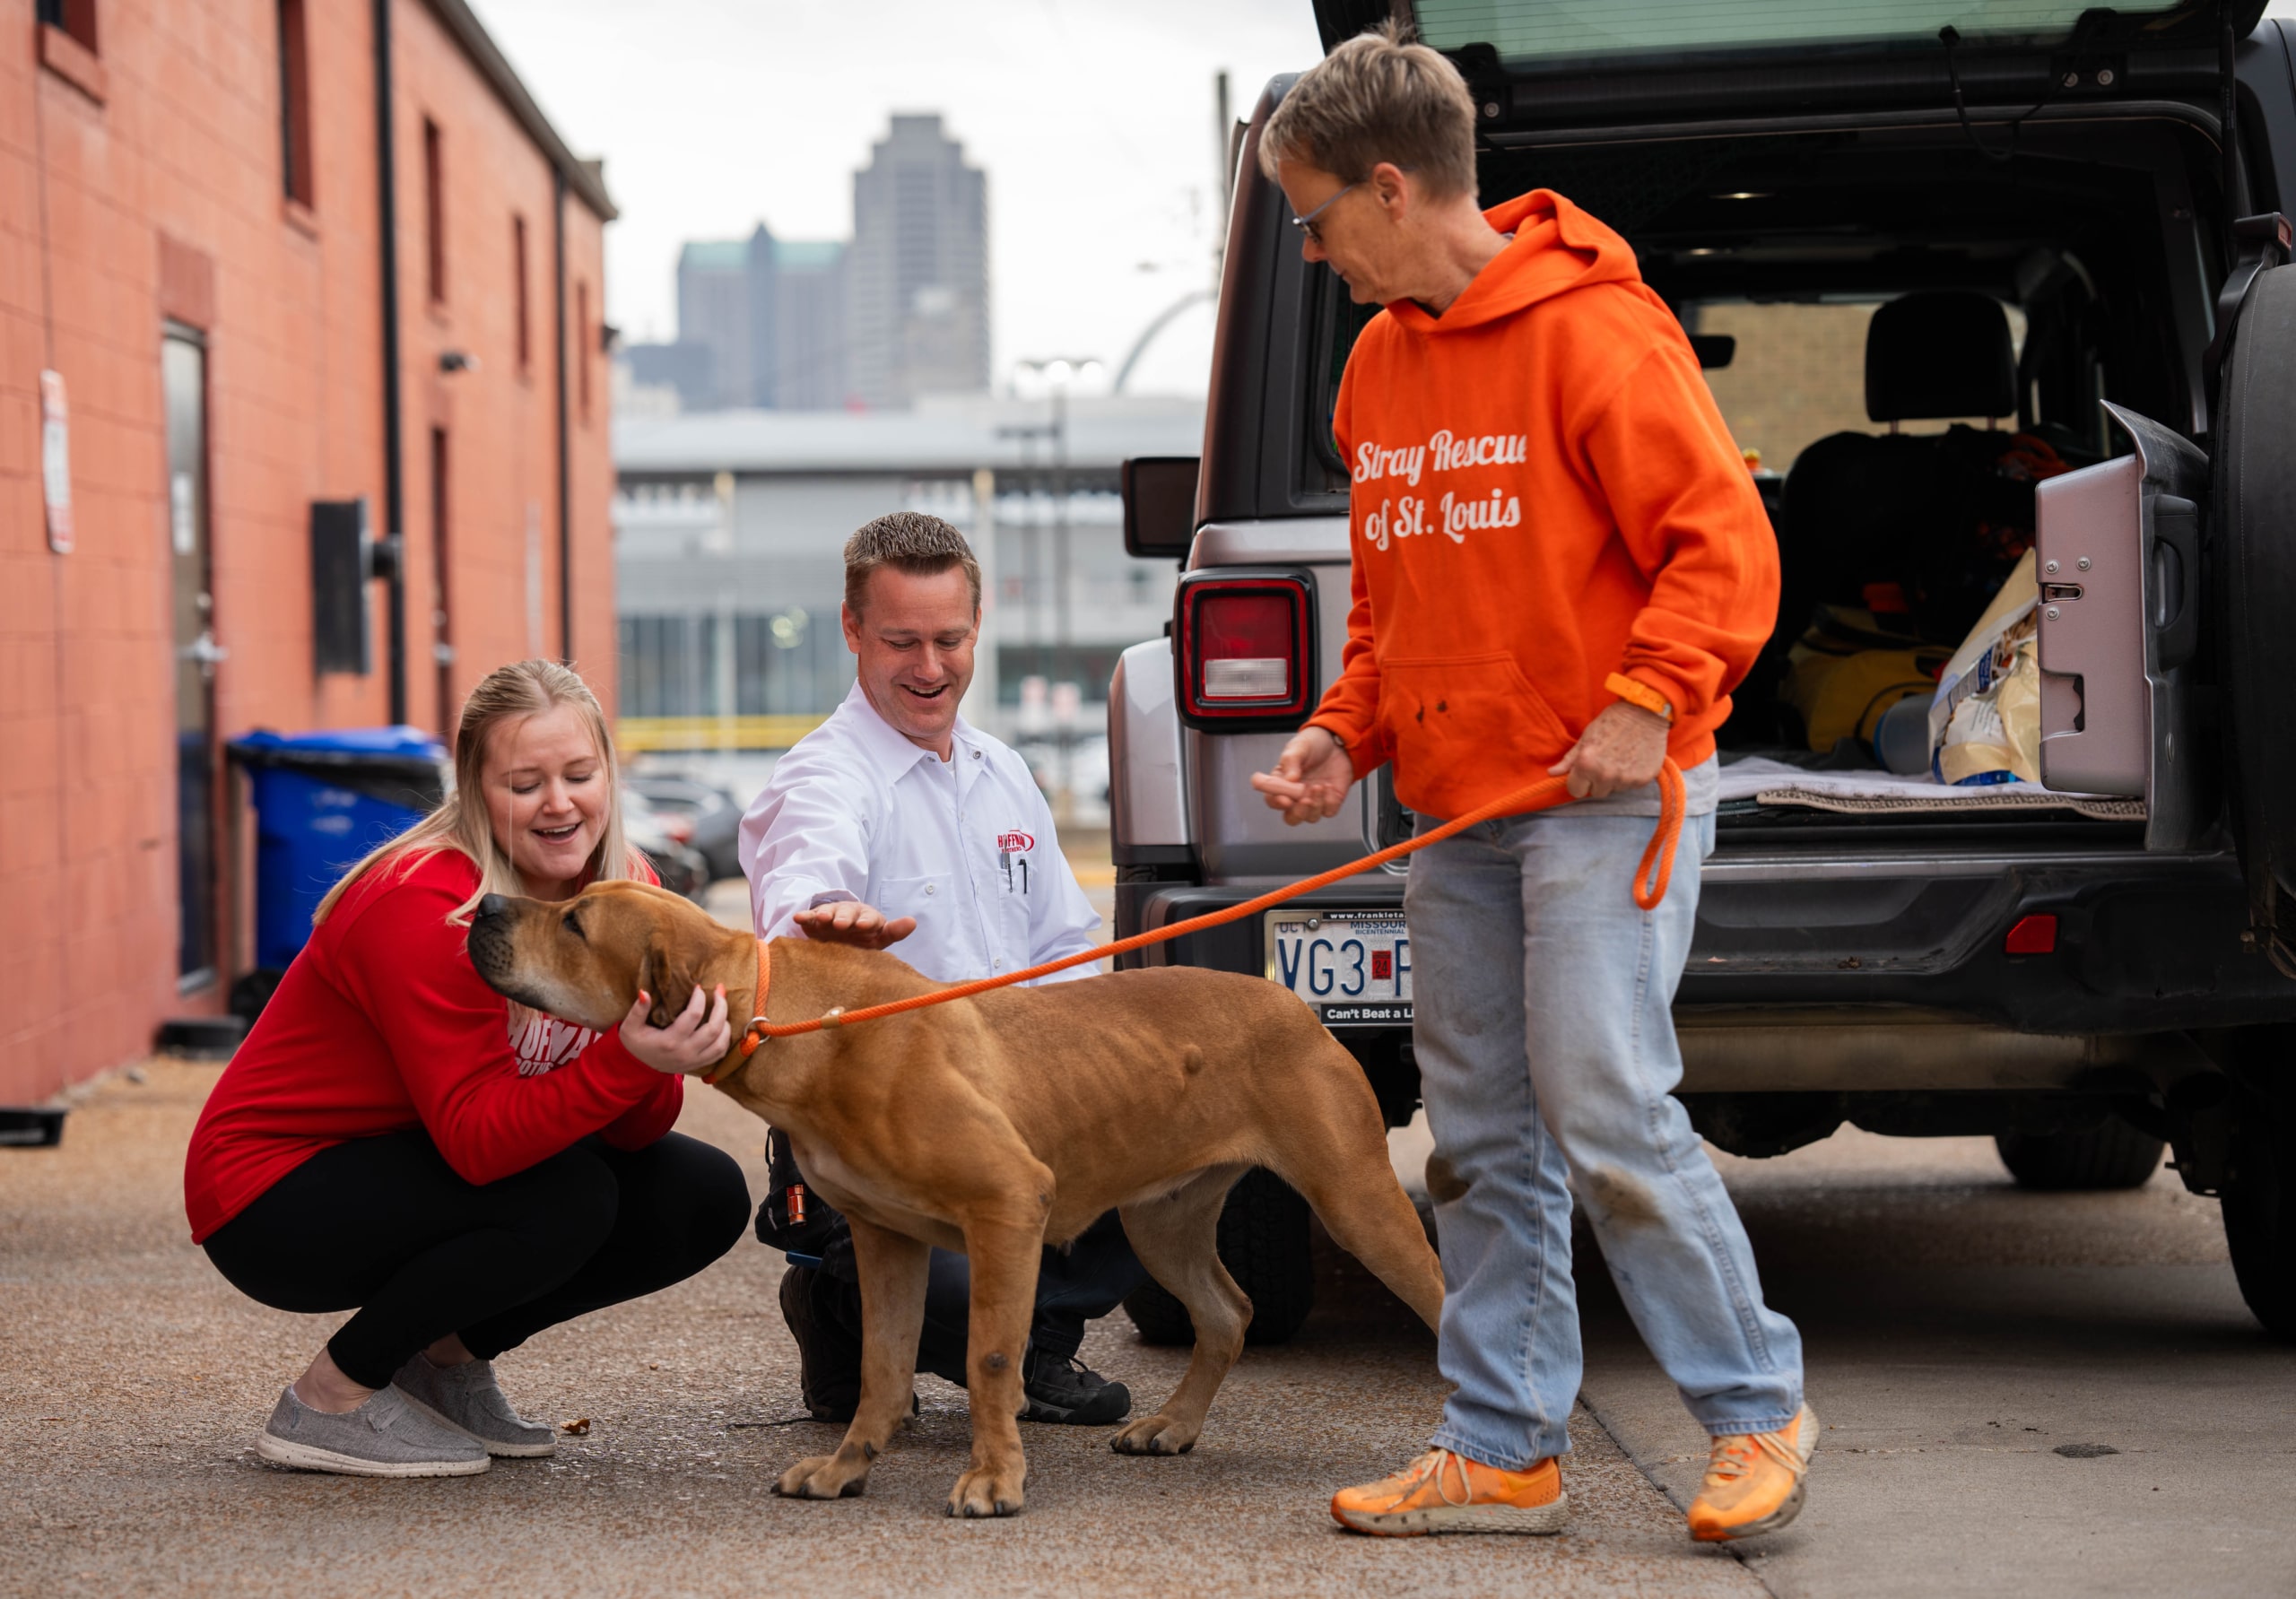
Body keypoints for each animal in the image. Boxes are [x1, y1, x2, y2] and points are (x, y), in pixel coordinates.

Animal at [461, 882, 1432, 1516]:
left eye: (575, 920)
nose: (487, 904)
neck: (801, 1022)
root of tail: (1293, 1003)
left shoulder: (1008, 1207)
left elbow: (990, 1356)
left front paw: (995, 1477)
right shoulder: (886, 1239)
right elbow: (882, 1368)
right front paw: (847, 1466)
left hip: (1355, 1198)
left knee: (1436, 1294)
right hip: (1162, 1217)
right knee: (1228, 1311)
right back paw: (1175, 1425)